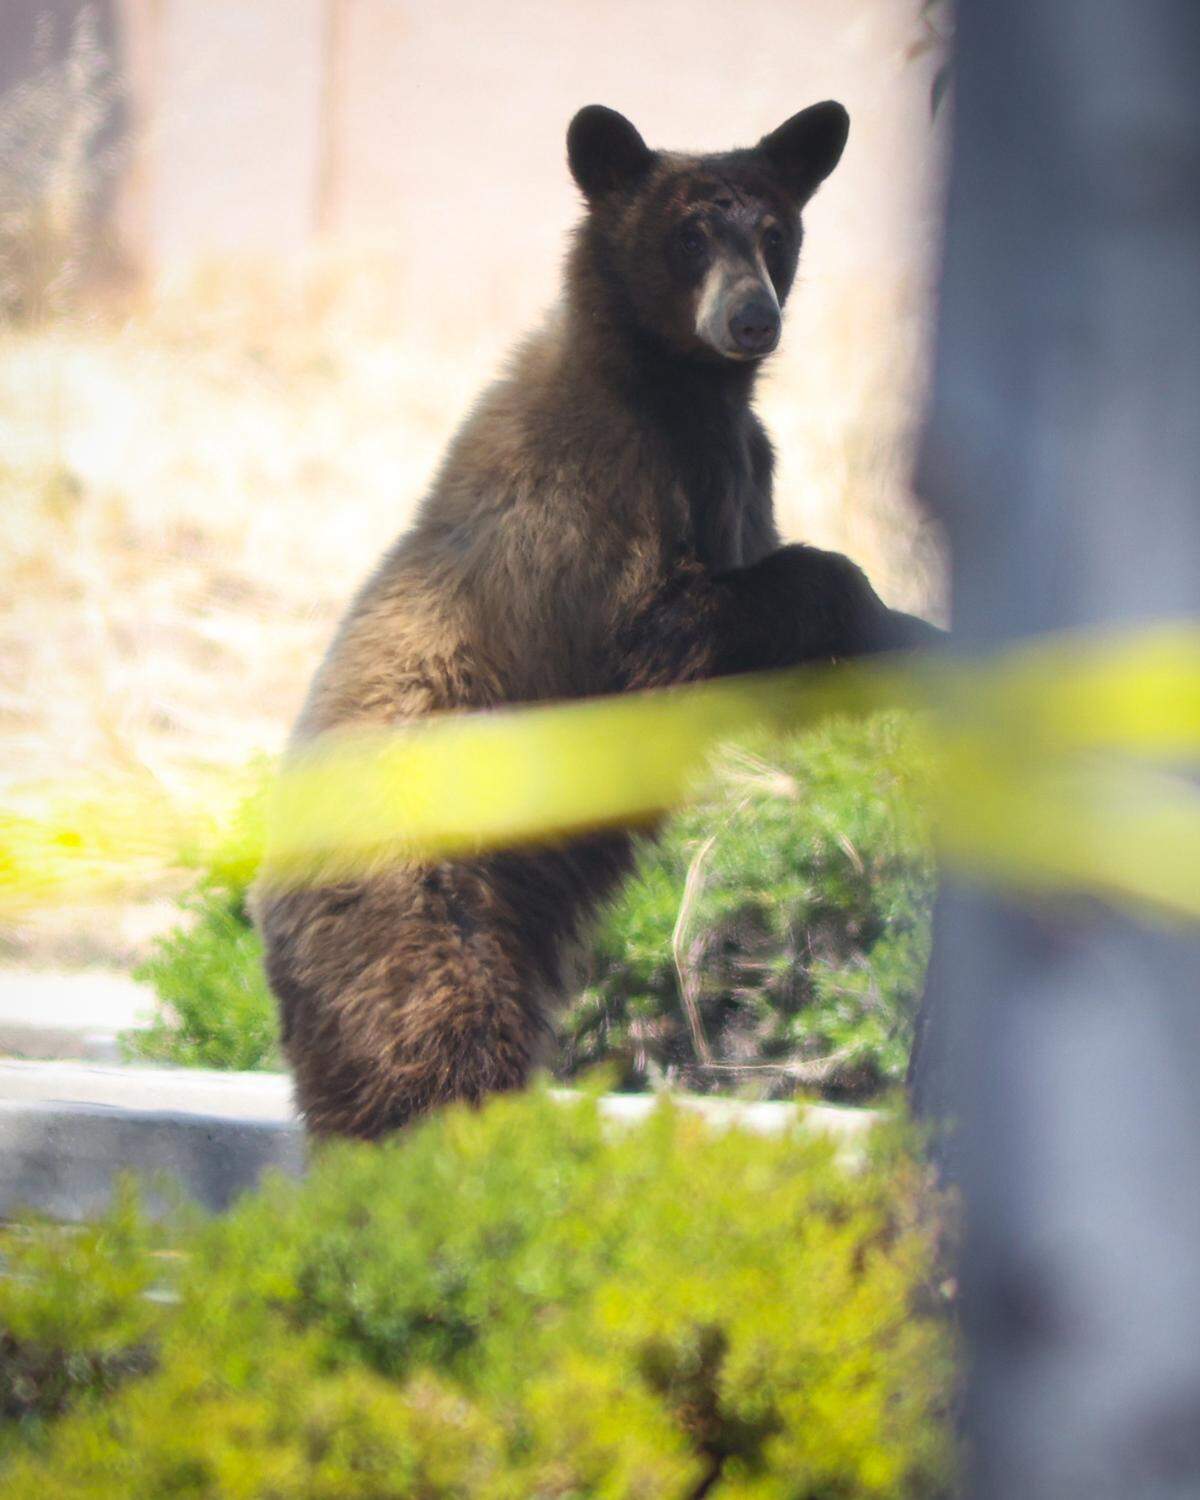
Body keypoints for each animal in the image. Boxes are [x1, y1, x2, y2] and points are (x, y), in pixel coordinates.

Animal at [256, 101, 941, 1139]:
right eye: (689, 232)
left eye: (775, 230)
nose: (752, 317)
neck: (675, 388)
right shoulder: (593, 503)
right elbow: (669, 629)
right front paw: (863, 598)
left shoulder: (738, 464)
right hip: (424, 917)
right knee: (432, 1062)